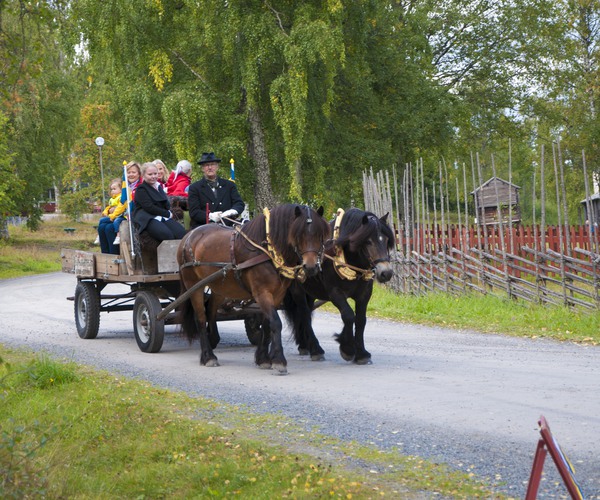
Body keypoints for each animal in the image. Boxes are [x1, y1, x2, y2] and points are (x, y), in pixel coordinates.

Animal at [176, 202, 330, 372]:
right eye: (297, 234)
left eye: (320, 235)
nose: (310, 267)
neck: (267, 251)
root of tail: (188, 236)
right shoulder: (262, 293)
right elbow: (276, 322)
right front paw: (279, 360)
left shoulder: (277, 294)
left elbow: (268, 324)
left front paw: (263, 358)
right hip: (194, 285)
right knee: (201, 318)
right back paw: (208, 356)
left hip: (220, 287)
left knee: (211, 310)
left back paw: (213, 339)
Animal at [284, 207, 396, 364]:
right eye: (368, 241)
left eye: (385, 240)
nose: (386, 273)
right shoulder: (335, 293)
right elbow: (348, 315)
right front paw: (347, 348)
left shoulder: (364, 294)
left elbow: (361, 320)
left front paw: (361, 353)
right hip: (297, 290)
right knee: (304, 313)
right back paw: (316, 349)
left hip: (310, 292)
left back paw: (305, 345)